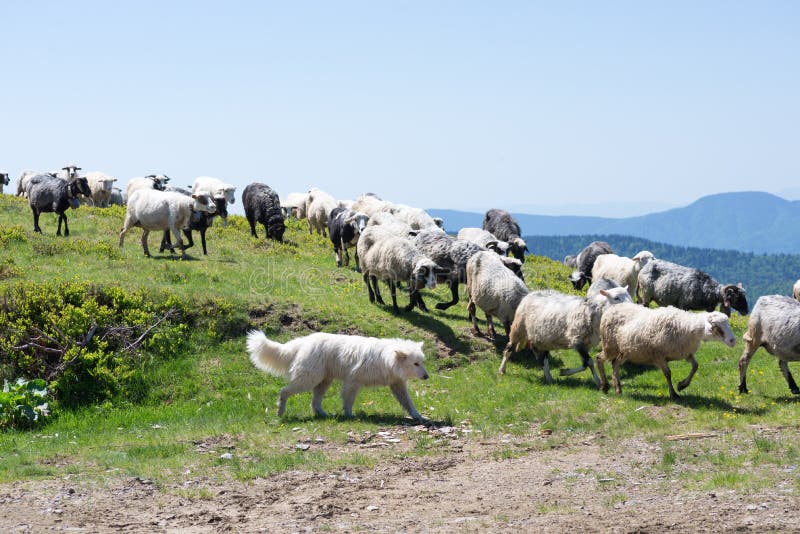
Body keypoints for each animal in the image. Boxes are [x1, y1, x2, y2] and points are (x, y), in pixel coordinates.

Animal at [247, 330, 432, 422]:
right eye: (416, 364)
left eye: (422, 362)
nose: (427, 377)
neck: (386, 359)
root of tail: (303, 341)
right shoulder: (352, 382)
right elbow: (348, 401)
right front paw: (349, 416)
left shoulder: (397, 385)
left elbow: (409, 403)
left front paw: (419, 417)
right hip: (308, 380)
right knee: (284, 391)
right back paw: (280, 411)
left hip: (323, 382)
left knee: (315, 402)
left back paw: (323, 415)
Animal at [496, 282, 636, 384]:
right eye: (616, 298)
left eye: (629, 295)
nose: (633, 307)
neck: (594, 312)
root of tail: (531, 293)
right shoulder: (577, 340)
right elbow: (589, 362)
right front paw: (598, 382)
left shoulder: (585, 344)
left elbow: (585, 364)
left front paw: (564, 372)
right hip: (518, 328)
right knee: (509, 348)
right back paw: (502, 370)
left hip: (542, 338)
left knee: (542, 358)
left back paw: (549, 378)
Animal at [596, 304, 736, 400]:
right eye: (717, 327)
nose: (733, 341)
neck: (686, 328)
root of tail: (611, 308)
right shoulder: (659, 355)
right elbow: (668, 374)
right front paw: (673, 393)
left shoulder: (685, 353)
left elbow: (695, 366)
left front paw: (682, 385)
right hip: (610, 346)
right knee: (599, 358)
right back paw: (605, 386)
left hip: (625, 351)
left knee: (615, 364)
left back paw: (618, 389)